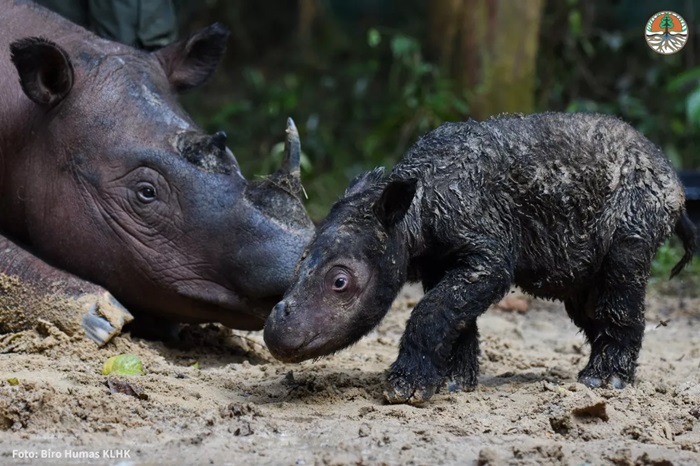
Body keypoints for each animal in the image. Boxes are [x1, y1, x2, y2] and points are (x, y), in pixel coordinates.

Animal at [264, 113, 696, 404]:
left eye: (340, 282)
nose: (275, 333)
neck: (412, 212)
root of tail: (674, 179)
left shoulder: (488, 253)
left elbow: (432, 310)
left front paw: (405, 389)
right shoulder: (441, 261)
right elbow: (455, 315)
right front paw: (453, 384)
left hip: (640, 207)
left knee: (620, 276)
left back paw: (603, 383)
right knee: (586, 297)